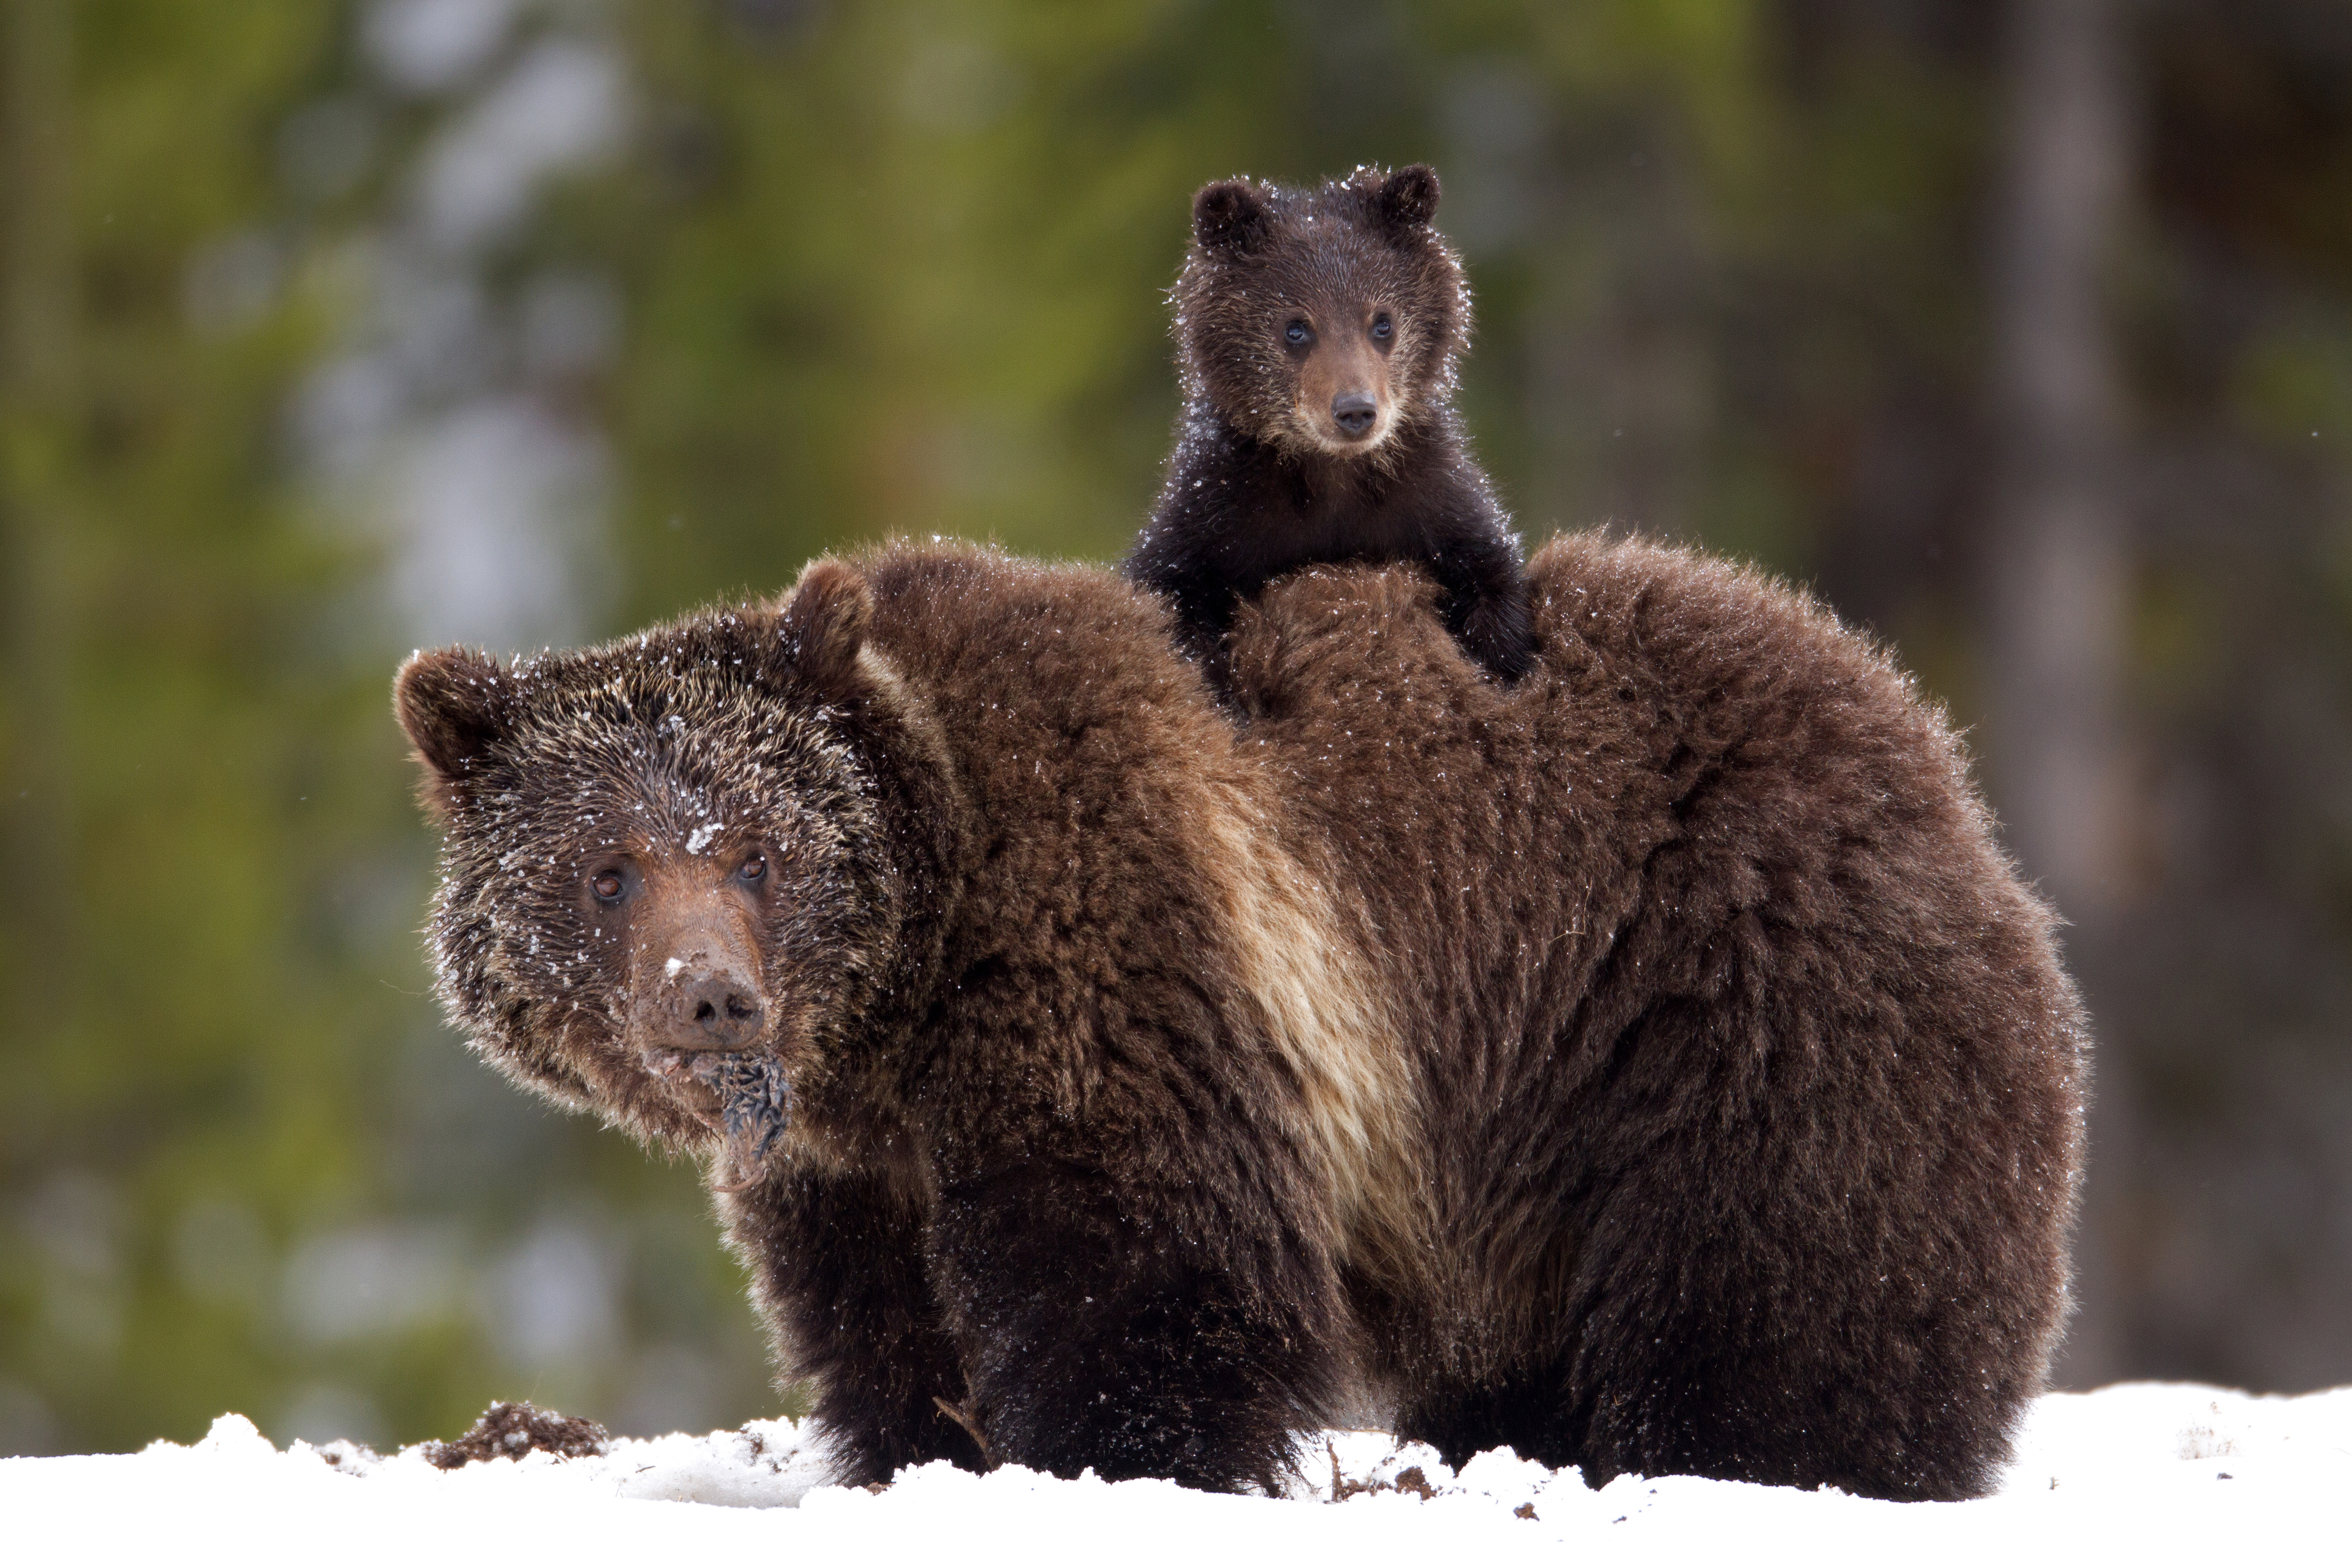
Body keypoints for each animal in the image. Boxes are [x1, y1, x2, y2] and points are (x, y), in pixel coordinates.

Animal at [394, 537, 2085, 1502]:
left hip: (1722, 999)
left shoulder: (1117, 942)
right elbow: (883, 1323)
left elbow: (1136, 1265)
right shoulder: (851, 1162)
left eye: (754, 848)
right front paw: (920, 1452)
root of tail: (1922, 739)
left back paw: (1781, 1460)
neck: (899, 1007)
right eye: (608, 865)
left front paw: (1109, 1458)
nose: (714, 995)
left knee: (1794, 1286)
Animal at [1123, 163, 1535, 689]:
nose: (1355, 410)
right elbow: (1172, 592)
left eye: (1382, 321)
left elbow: (1491, 574)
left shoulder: (1429, 499)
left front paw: (1498, 658)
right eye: (1296, 327)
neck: (1332, 475)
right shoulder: (1218, 510)